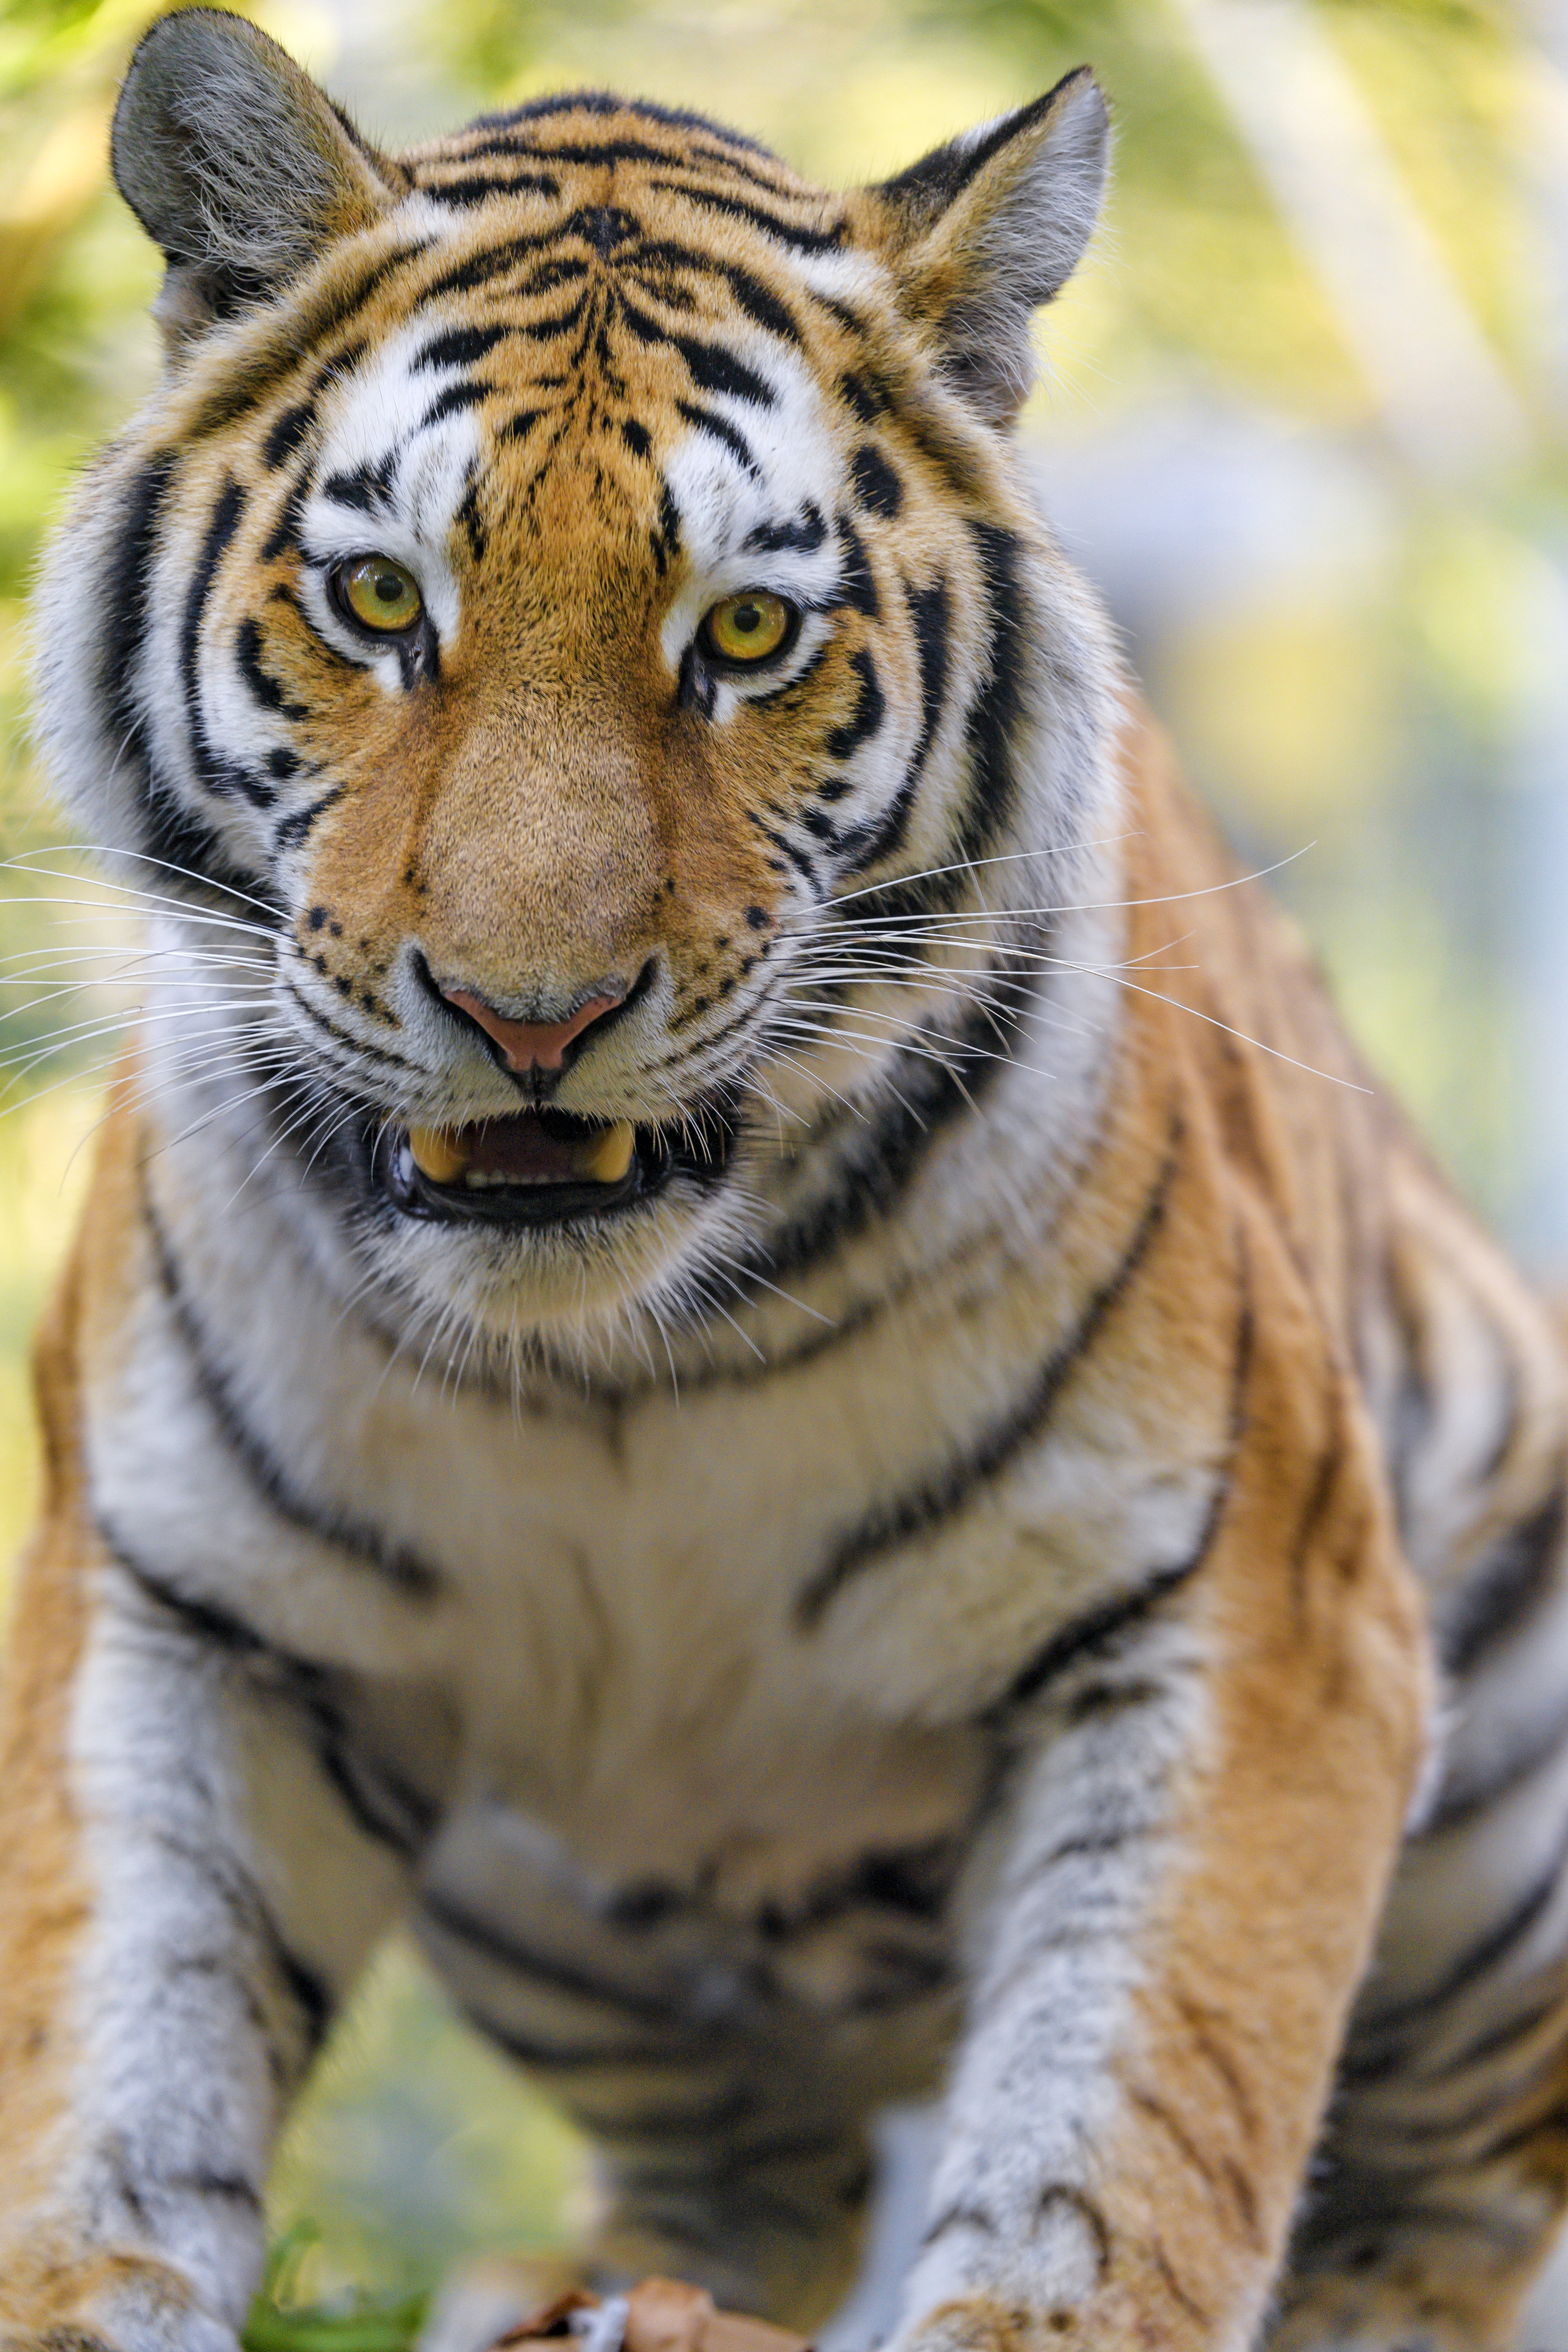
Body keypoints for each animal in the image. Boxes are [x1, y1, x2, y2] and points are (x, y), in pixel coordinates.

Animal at [4, 9, 1568, 2350]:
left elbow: (1124, 2134)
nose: (530, 1016)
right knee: (725, 2176)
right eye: (376, 600)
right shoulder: (173, 1601)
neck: (609, 1364)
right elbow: (107, 2066)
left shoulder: (1243, 1613)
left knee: (1440, 2198)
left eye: (743, 635)